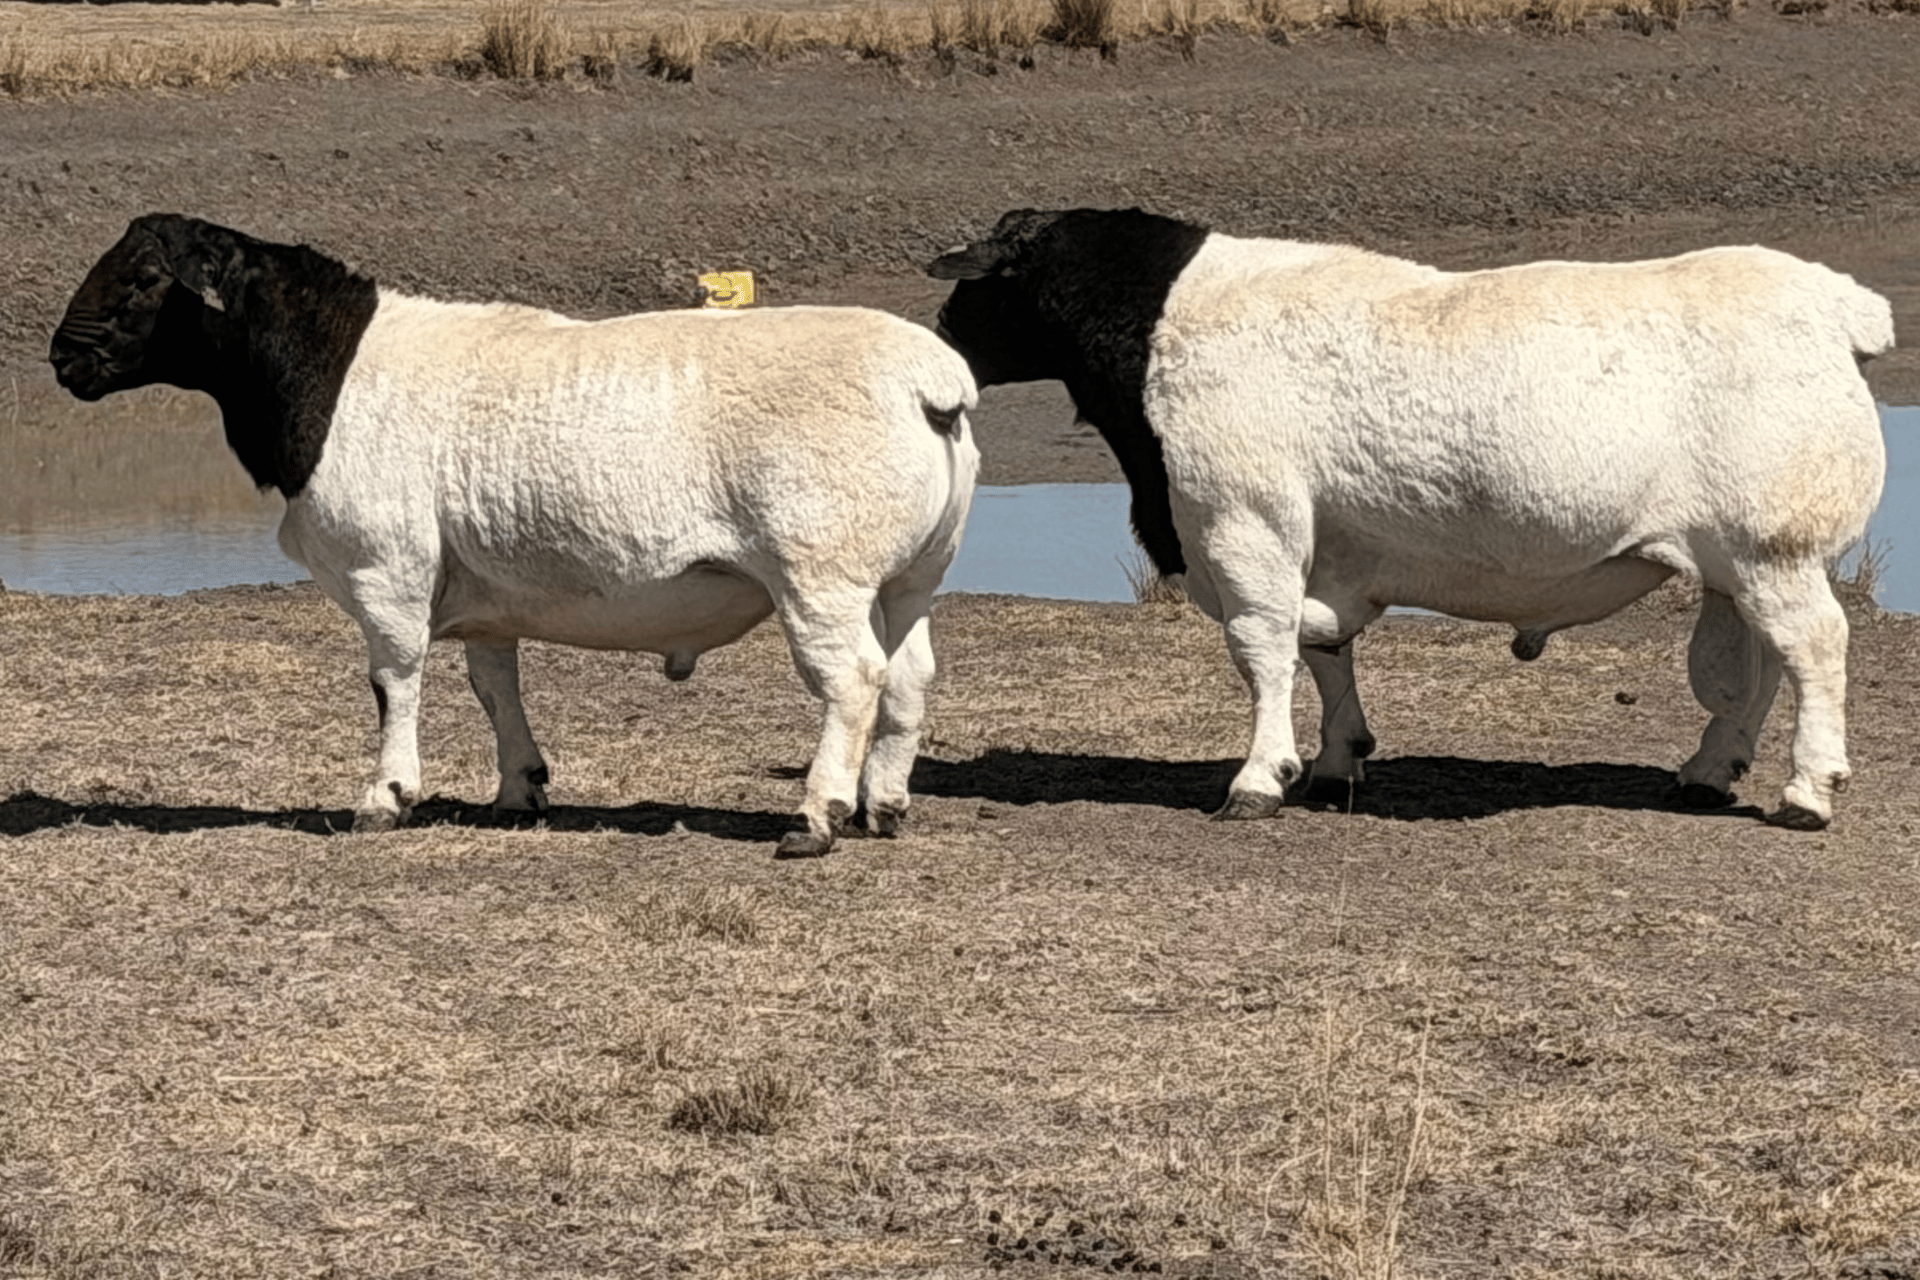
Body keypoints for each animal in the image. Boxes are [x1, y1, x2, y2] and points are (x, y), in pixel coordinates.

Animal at [50, 213, 980, 857]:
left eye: (145, 277)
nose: (61, 358)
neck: (328, 366)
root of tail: (932, 384)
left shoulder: (385, 568)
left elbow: (394, 681)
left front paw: (385, 798)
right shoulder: (481, 589)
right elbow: (494, 687)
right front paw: (519, 792)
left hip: (820, 570)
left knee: (853, 681)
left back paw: (817, 818)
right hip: (911, 573)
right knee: (908, 676)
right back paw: (883, 808)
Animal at [929, 207, 1892, 829]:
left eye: (974, 293)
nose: (939, 341)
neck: (1163, 321)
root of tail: (1835, 306)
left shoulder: (1244, 524)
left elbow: (1262, 649)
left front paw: (1258, 777)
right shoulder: (1324, 545)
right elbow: (1324, 650)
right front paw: (1332, 761)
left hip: (1776, 547)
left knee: (1814, 649)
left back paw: (1808, 791)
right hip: (1743, 561)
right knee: (1757, 668)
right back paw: (1707, 772)